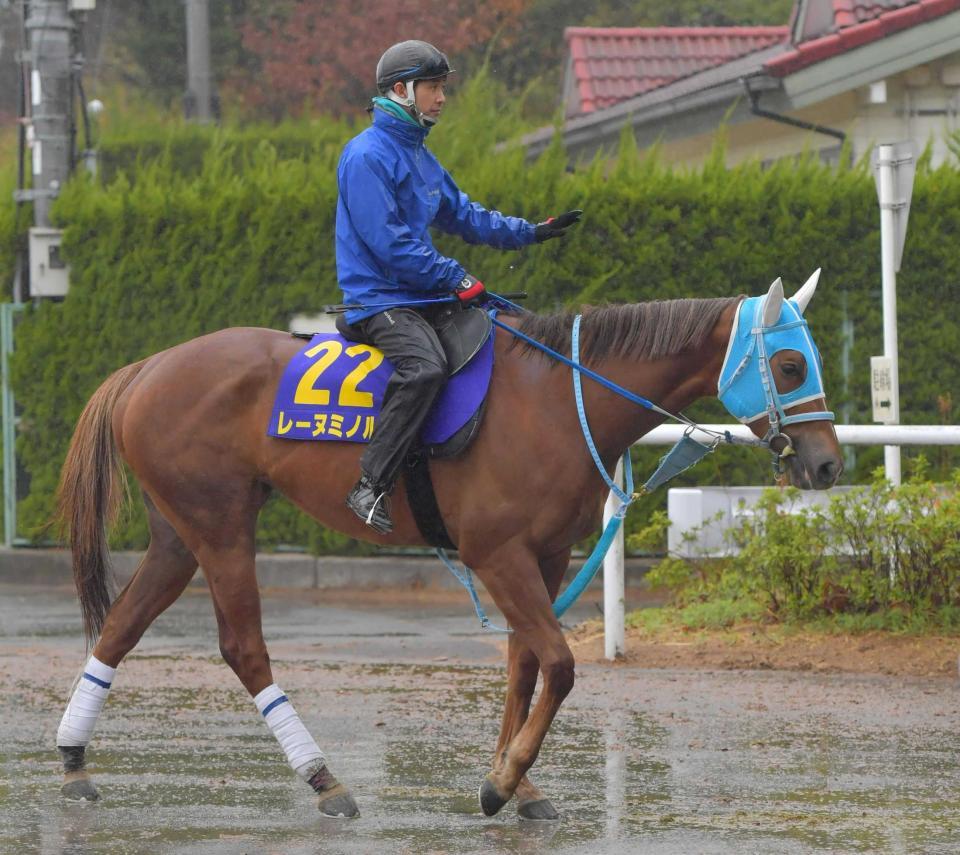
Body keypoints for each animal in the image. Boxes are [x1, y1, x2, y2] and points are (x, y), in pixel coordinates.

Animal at [54, 278, 840, 820]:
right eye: (791, 364)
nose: (828, 464)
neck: (559, 397)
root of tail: (148, 367)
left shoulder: (544, 555)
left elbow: (525, 666)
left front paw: (517, 780)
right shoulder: (497, 554)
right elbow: (559, 665)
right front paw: (503, 780)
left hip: (178, 534)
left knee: (120, 628)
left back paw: (73, 758)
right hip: (219, 526)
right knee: (243, 648)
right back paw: (324, 778)